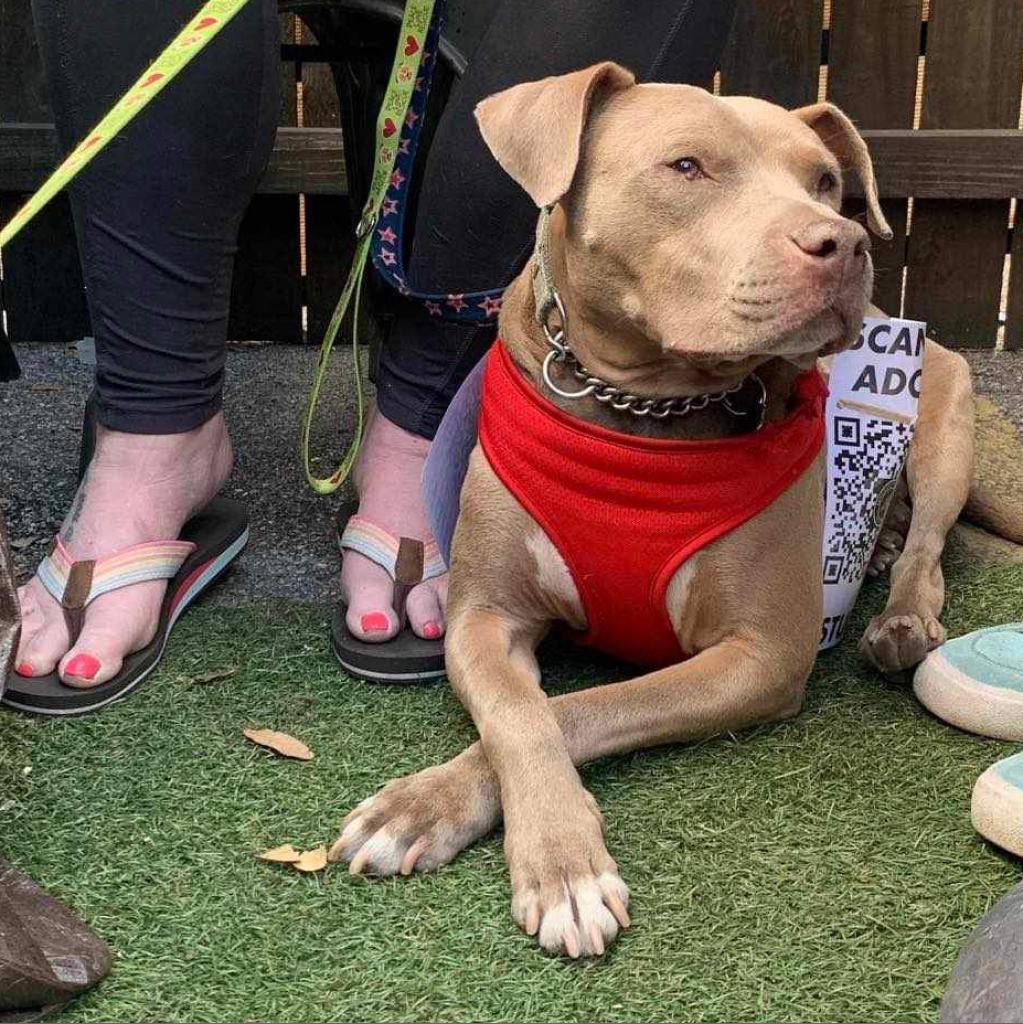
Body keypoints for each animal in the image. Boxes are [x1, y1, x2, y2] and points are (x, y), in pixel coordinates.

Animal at [331, 64, 978, 958]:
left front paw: (557, 863)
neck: (643, 410)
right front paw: (430, 806)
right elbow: (518, 714)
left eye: (824, 182)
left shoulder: (760, 655)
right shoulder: (481, 616)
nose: (843, 243)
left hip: (947, 415)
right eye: (685, 167)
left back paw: (901, 615)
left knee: (929, 544)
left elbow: (580, 708)